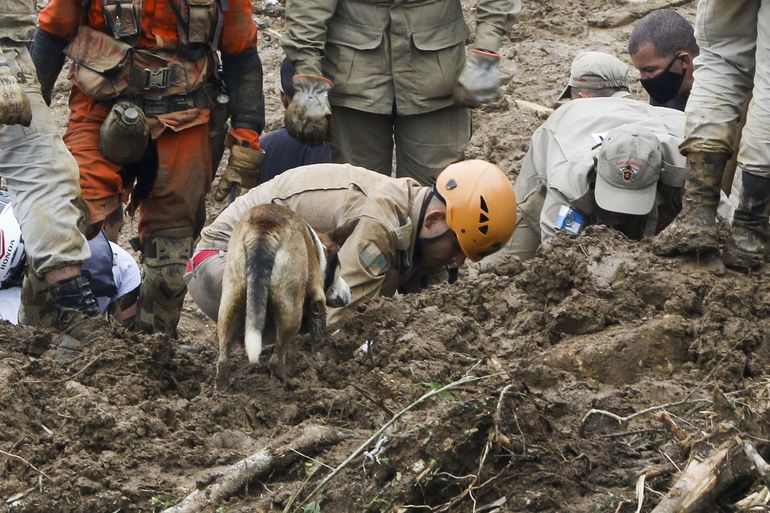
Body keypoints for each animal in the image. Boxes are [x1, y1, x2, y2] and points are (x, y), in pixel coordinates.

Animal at [214, 204, 356, 388]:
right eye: (339, 270)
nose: (351, 292)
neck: (317, 248)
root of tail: (264, 229)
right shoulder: (317, 297)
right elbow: (318, 334)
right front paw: (322, 362)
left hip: (231, 300)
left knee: (223, 358)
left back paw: (221, 390)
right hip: (291, 311)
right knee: (275, 360)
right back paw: (290, 382)